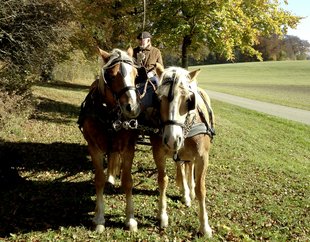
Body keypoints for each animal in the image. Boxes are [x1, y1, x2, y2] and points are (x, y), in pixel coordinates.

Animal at [77, 46, 140, 233]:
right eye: (111, 76)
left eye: (136, 74)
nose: (132, 108)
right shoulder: (94, 147)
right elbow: (98, 180)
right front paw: (99, 218)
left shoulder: (128, 147)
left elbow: (128, 181)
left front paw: (130, 219)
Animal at [151, 65, 216, 236]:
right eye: (158, 99)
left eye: (188, 100)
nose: (172, 140)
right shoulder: (158, 153)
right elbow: (163, 181)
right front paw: (162, 215)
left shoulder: (202, 157)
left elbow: (201, 188)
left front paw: (204, 226)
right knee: (181, 166)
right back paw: (186, 192)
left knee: (189, 166)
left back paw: (189, 191)